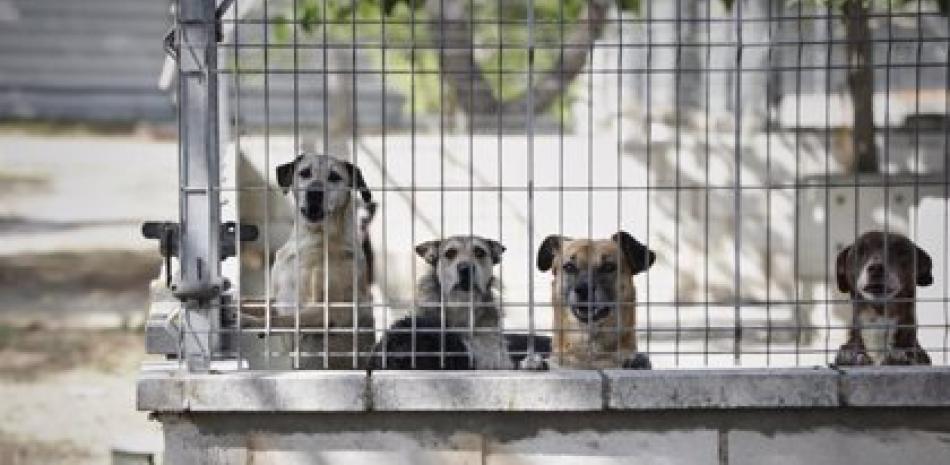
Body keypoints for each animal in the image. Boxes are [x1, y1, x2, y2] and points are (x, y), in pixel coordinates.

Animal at [242, 154, 376, 368]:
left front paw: (248, 321)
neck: (308, 239)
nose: (314, 193)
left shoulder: (329, 312)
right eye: (304, 173)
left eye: (334, 176)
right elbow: (253, 303)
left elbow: (284, 320)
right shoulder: (277, 299)